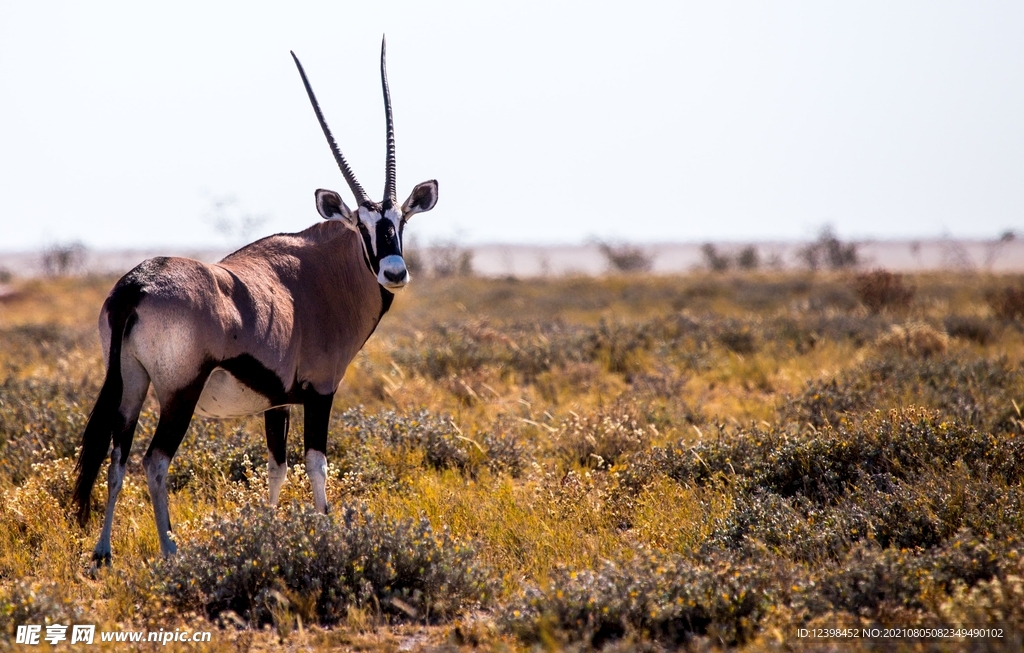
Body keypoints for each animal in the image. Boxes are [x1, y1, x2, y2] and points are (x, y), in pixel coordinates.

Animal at [70, 38, 438, 564]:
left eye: (400, 221)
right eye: (363, 225)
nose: (394, 271)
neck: (317, 276)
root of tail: (137, 284)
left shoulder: (276, 402)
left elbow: (276, 467)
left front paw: (269, 530)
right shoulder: (321, 391)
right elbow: (316, 464)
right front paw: (325, 532)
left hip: (130, 384)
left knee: (118, 456)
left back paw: (103, 551)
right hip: (179, 391)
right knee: (154, 462)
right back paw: (171, 550)